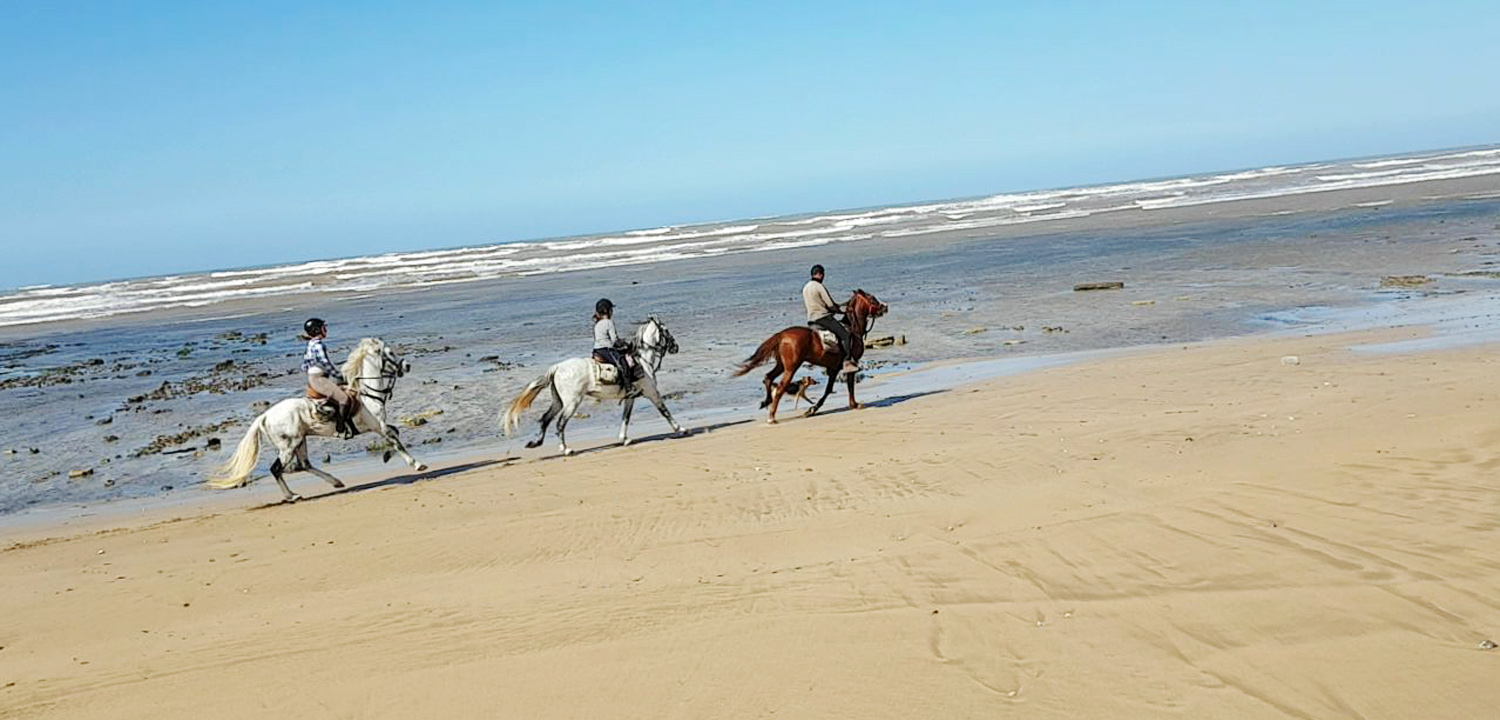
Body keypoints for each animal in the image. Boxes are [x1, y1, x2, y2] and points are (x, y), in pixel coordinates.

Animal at [208, 338, 428, 503]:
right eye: (390, 353)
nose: (407, 365)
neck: (367, 394)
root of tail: (265, 416)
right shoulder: (378, 426)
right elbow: (396, 440)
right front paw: (417, 464)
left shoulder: (379, 426)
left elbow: (395, 434)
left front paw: (387, 456)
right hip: (288, 446)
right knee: (277, 469)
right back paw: (292, 496)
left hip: (300, 441)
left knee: (305, 464)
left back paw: (335, 482)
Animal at [503, 316, 685, 456]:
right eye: (666, 330)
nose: (676, 347)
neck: (642, 360)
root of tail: (557, 368)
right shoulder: (652, 392)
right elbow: (664, 410)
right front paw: (681, 429)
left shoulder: (630, 398)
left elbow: (625, 417)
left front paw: (624, 439)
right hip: (572, 403)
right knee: (560, 423)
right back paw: (566, 449)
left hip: (558, 401)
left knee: (545, 419)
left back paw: (536, 442)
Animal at [734, 290, 888, 423]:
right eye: (872, 298)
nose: (885, 307)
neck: (853, 329)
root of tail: (782, 335)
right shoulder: (851, 363)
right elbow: (849, 384)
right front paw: (854, 404)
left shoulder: (834, 368)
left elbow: (828, 389)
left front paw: (812, 409)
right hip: (791, 367)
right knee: (780, 388)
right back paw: (772, 417)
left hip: (781, 365)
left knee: (768, 378)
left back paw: (766, 402)